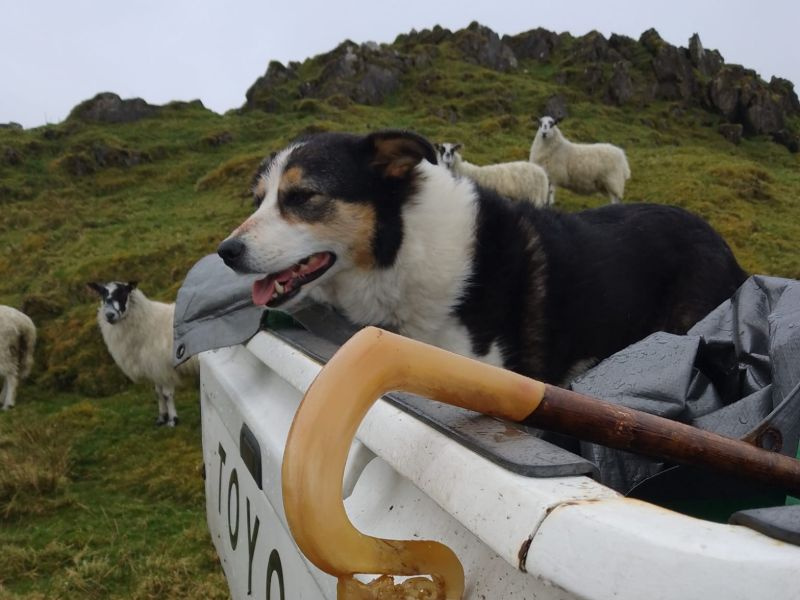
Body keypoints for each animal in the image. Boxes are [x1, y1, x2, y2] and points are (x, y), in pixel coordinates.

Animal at [86, 282, 198, 426]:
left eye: (123, 293)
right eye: (102, 294)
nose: (110, 315)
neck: (147, 322)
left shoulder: (163, 368)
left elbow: (167, 395)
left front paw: (172, 420)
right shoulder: (154, 368)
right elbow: (158, 394)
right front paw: (161, 418)